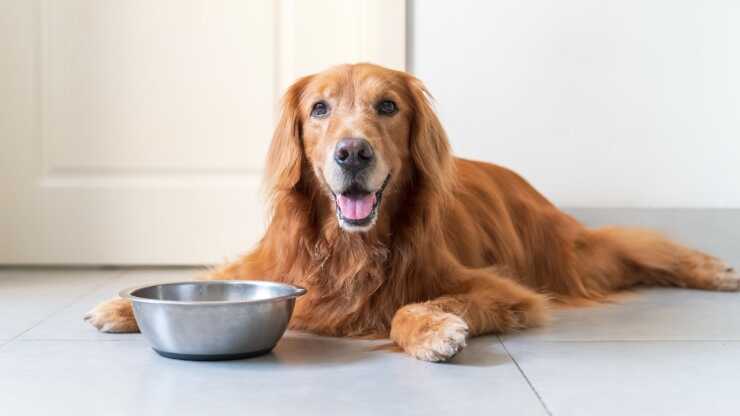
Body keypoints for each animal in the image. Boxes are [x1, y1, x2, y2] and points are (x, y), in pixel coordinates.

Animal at [85, 63, 736, 362]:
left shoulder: (506, 291)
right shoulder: (266, 262)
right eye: (319, 108)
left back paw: (717, 271)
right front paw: (121, 305)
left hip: (568, 253)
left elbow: (410, 306)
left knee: (640, 245)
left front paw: (433, 330)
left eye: (388, 106)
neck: (349, 246)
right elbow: (211, 276)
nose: (353, 152)